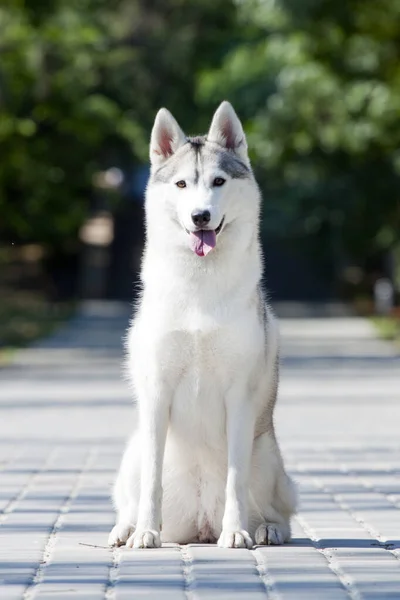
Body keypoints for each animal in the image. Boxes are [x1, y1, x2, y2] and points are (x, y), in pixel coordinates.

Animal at [108, 99, 296, 548]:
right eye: (180, 184)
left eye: (218, 181)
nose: (200, 216)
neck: (199, 287)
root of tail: (200, 525)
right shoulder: (156, 392)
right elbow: (152, 482)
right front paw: (146, 532)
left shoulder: (239, 397)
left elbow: (235, 480)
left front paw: (237, 532)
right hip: (134, 449)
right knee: (131, 497)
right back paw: (127, 528)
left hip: (267, 455)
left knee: (278, 509)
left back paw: (264, 529)